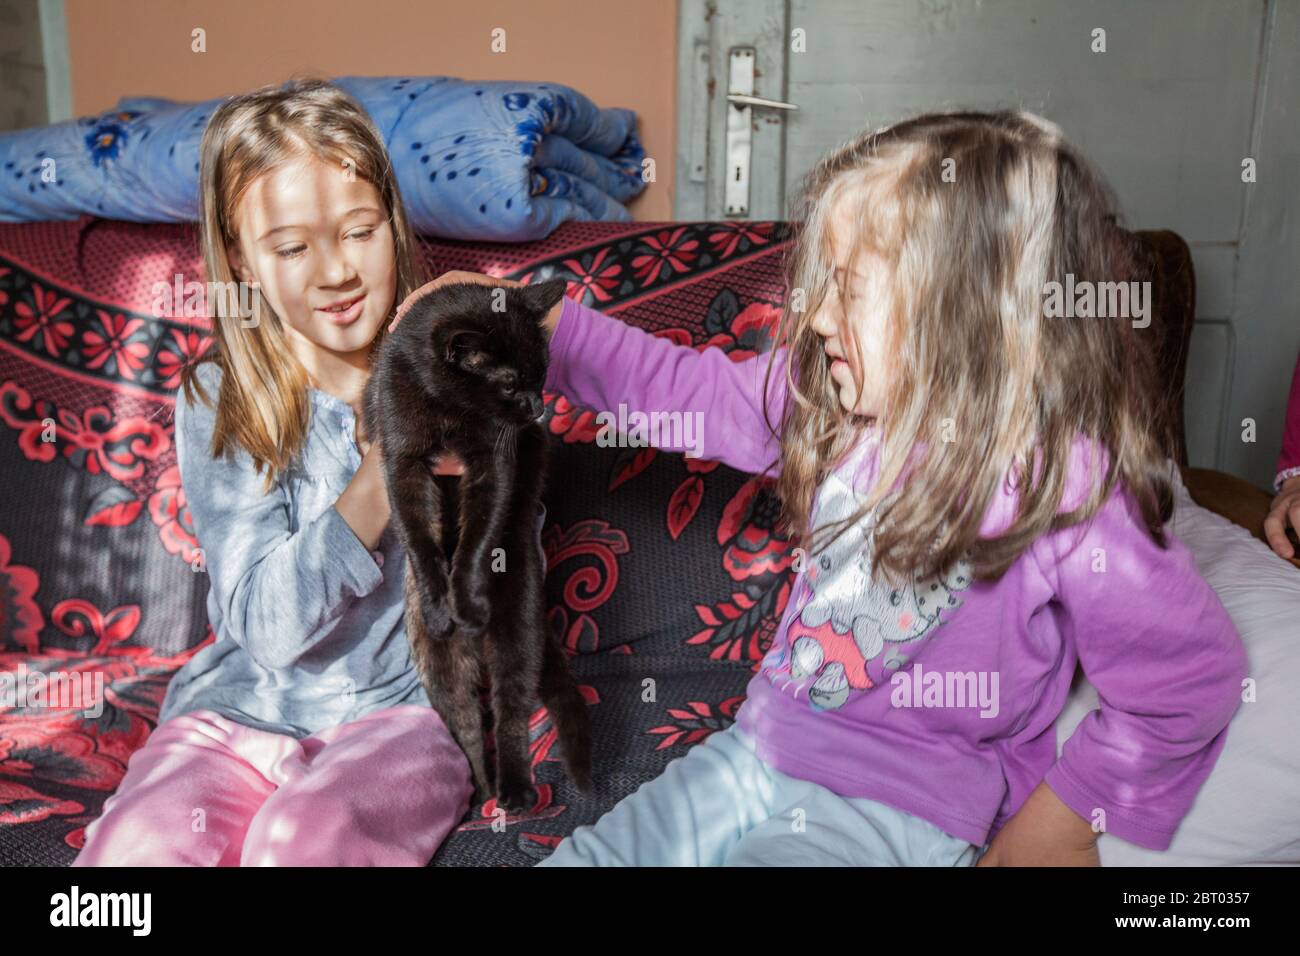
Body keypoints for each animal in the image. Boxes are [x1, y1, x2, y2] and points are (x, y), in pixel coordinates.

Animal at [364, 280, 592, 811]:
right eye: (509, 385)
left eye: (542, 371)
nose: (537, 407)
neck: (451, 412)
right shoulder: (401, 462)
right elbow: (418, 537)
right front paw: (441, 605)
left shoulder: (494, 463)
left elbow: (476, 538)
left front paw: (465, 602)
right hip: (438, 665)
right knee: (466, 725)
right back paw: (479, 793)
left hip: (517, 627)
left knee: (510, 712)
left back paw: (516, 791)